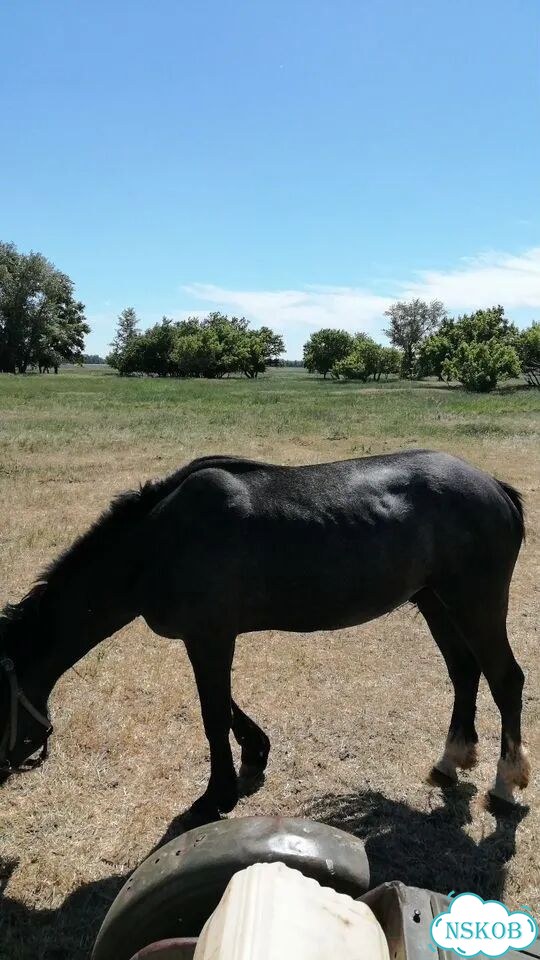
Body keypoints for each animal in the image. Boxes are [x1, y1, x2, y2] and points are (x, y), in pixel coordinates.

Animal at [0, 450, 529, 820]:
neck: (156, 544)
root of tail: (494, 487)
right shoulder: (207, 637)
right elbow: (224, 703)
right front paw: (255, 751)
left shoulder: (210, 636)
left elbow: (213, 713)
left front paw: (216, 797)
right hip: (435, 602)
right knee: (464, 671)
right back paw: (450, 760)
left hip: (475, 603)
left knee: (506, 679)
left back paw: (505, 783)